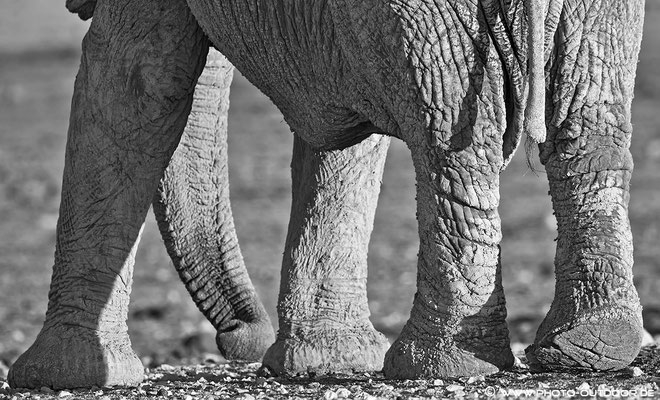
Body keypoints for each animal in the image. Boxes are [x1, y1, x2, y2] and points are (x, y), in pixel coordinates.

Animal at [9, 0, 644, 390]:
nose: (239, 338)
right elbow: (343, 133)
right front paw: (327, 367)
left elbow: (136, 81)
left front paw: (61, 379)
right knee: (588, 131)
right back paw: (589, 349)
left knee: (456, 142)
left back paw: (438, 366)